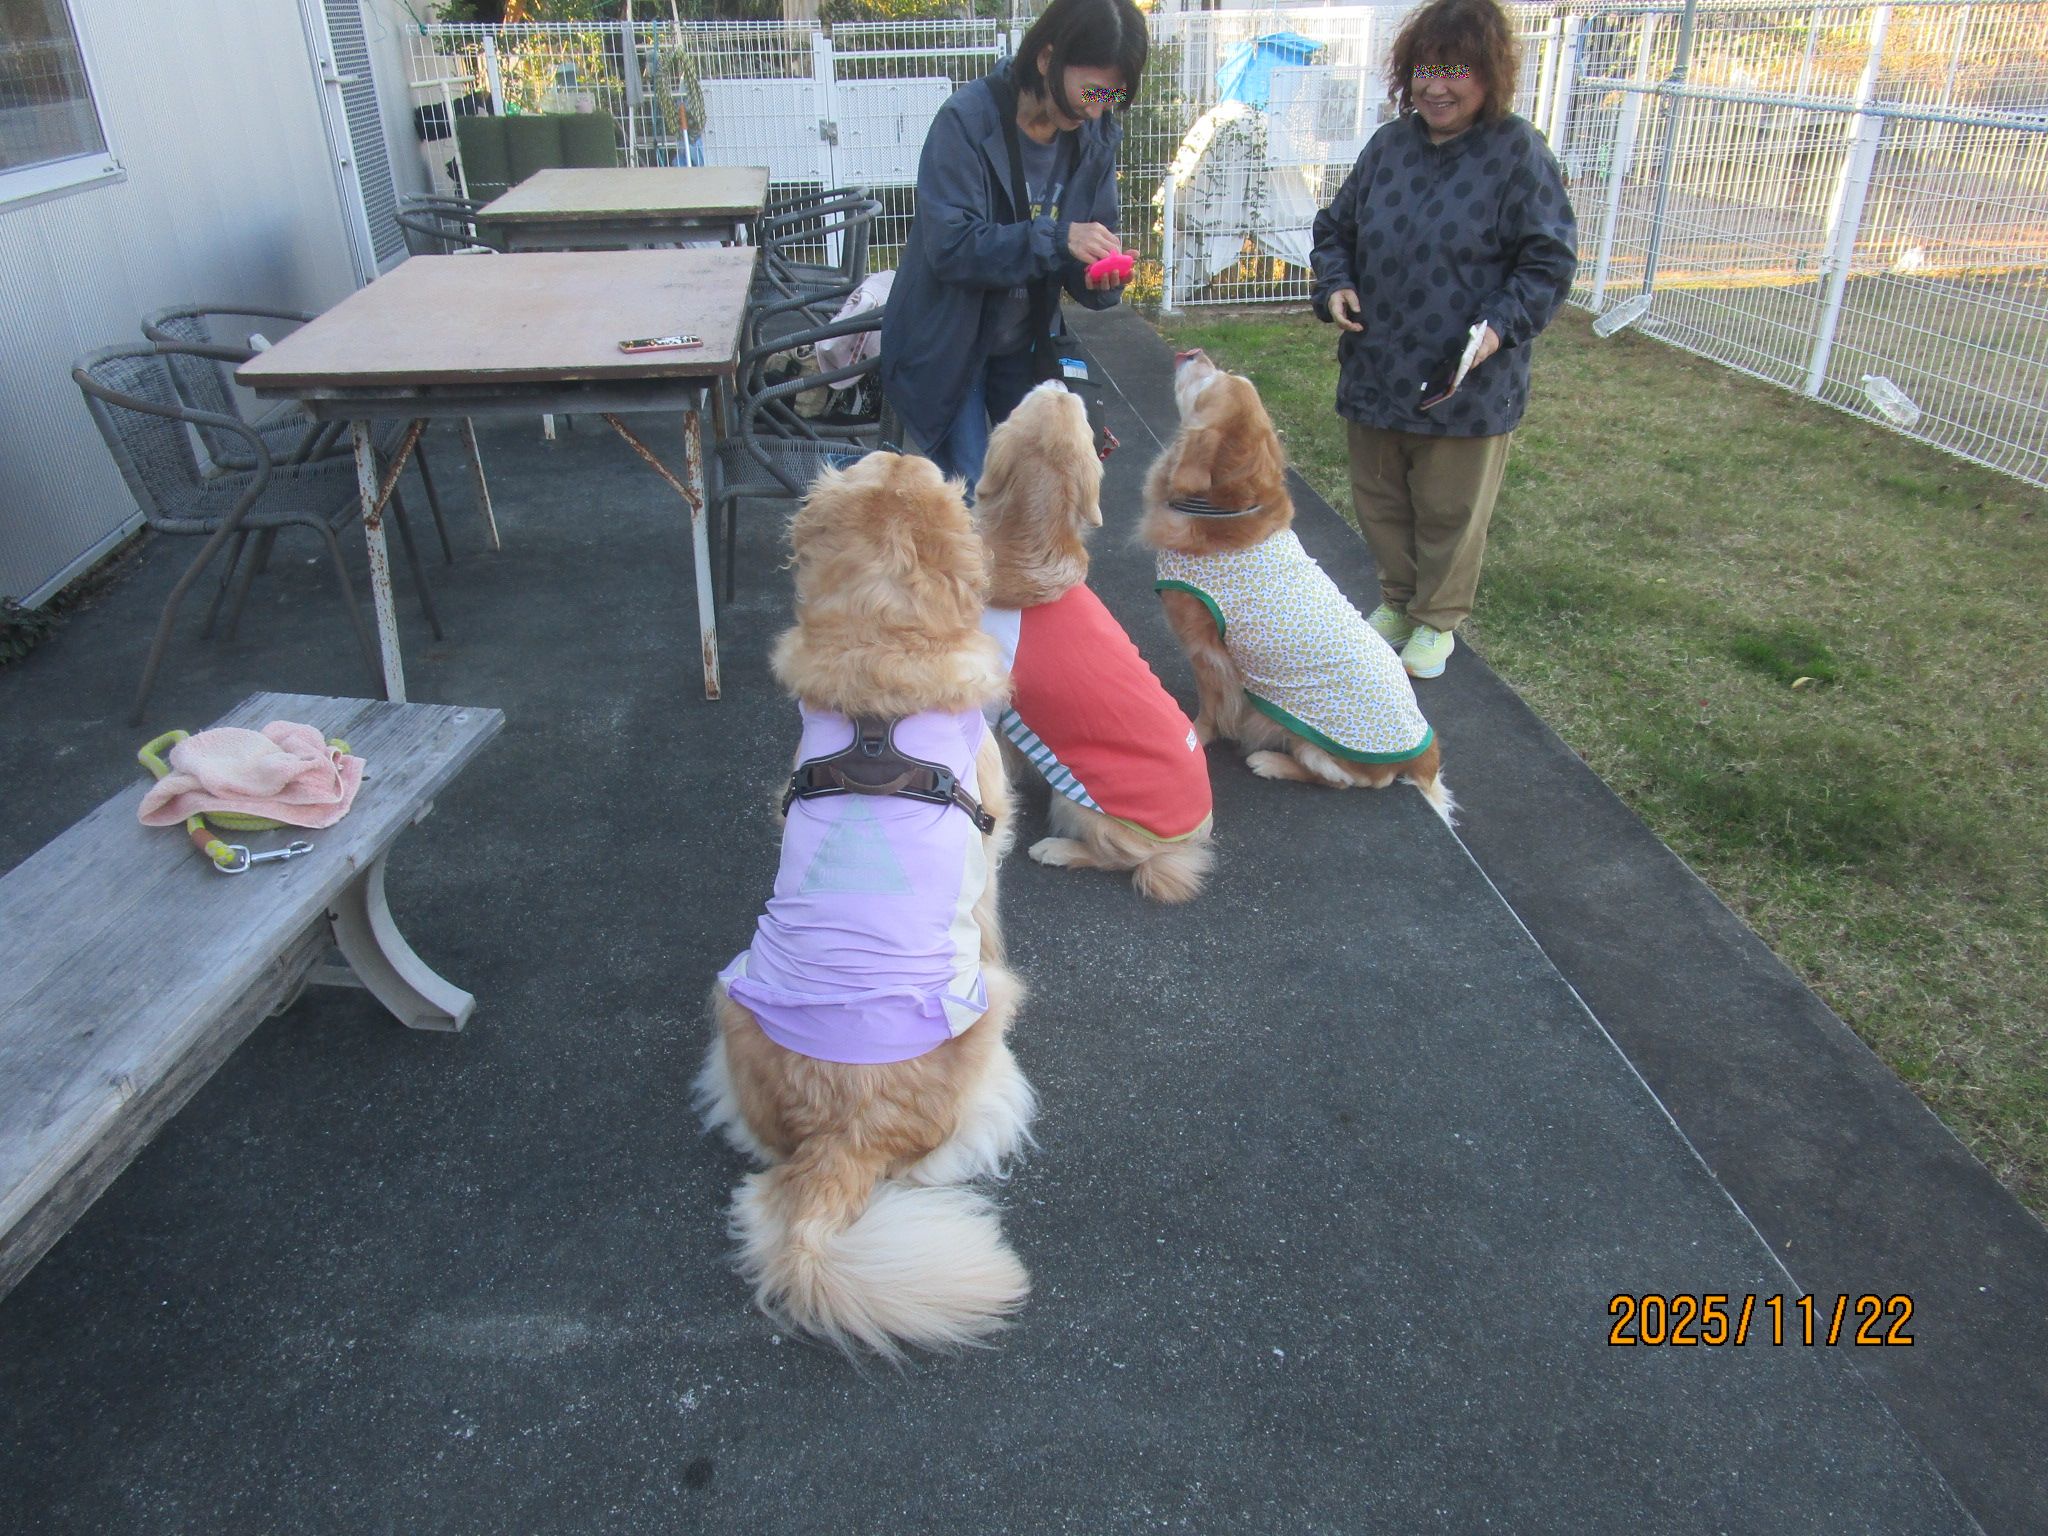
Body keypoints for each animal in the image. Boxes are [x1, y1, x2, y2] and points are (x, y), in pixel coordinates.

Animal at [694, 452, 1038, 1360]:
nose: (906, 448)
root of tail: (841, 1136)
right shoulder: (990, 842)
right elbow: (990, 913)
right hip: (993, 1013)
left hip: (731, 994)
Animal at [974, 380, 1215, 903]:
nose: (1059, 380)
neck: (1032, 544)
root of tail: (1190, 840)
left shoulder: (992, 703)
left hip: (1080, 802)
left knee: (1123, 860)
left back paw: (1057, 850)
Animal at [1141, 351, 1454, 822]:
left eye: (1209, 383)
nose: (1192, 353)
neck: (1223, 511)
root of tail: (1422, 752)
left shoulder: (1206, 650)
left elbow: (1211, 707)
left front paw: (1197, 733)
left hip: (1315, 747)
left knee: (1335, 780)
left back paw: (1269, 762)